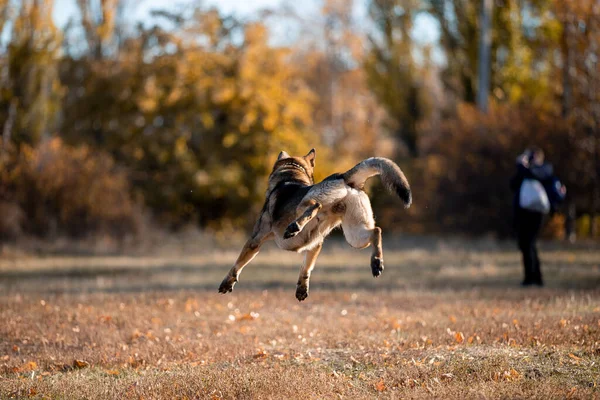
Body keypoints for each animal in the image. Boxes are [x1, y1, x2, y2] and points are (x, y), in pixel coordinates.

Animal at [218, 149, 410, 300]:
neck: (290, 176)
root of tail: (343, 177)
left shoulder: (255, 241)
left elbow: (237, 264)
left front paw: (227, 283)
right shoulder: (315, 244)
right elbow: (306, 268)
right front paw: (302, 289)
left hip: (311, 205)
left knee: (314, 206)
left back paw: (294, 227)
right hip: (355, 235)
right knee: (376, 230)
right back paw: (377, 263)